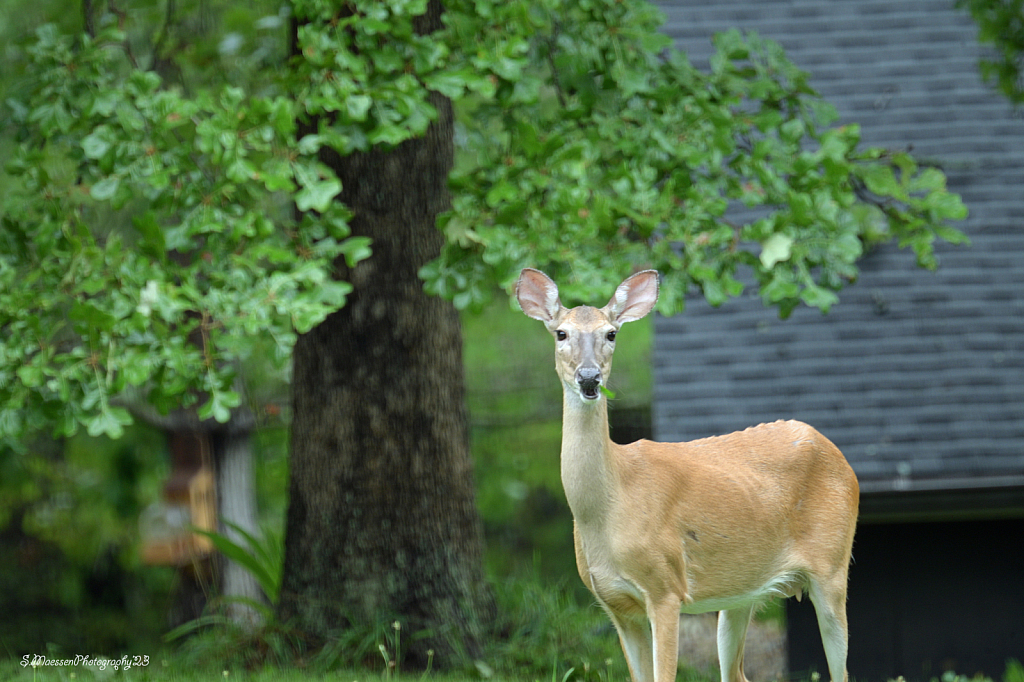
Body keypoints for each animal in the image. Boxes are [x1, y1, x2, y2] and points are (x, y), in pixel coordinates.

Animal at [516, 266, 860, 682]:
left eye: (611, 333)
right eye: (561, 333)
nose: (589, 377)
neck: (609, 505)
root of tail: (838, 454)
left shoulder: (665, 586)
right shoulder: (616, 605)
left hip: (832, 563)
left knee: (841, 670)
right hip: (741, 590)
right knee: (738, 672)